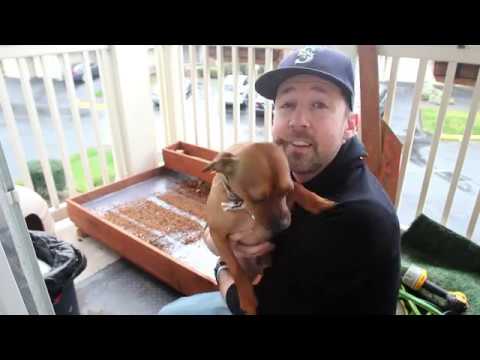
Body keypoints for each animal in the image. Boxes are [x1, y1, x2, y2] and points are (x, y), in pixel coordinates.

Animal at [202, 142, 334, 314]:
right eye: (258, 199)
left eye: (287, 191)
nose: (283, 226)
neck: (242, 205)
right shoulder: (218, 236)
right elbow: (236, 269)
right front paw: (248, 299)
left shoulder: (288, 202)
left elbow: (299, 187)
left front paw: (319, 202)